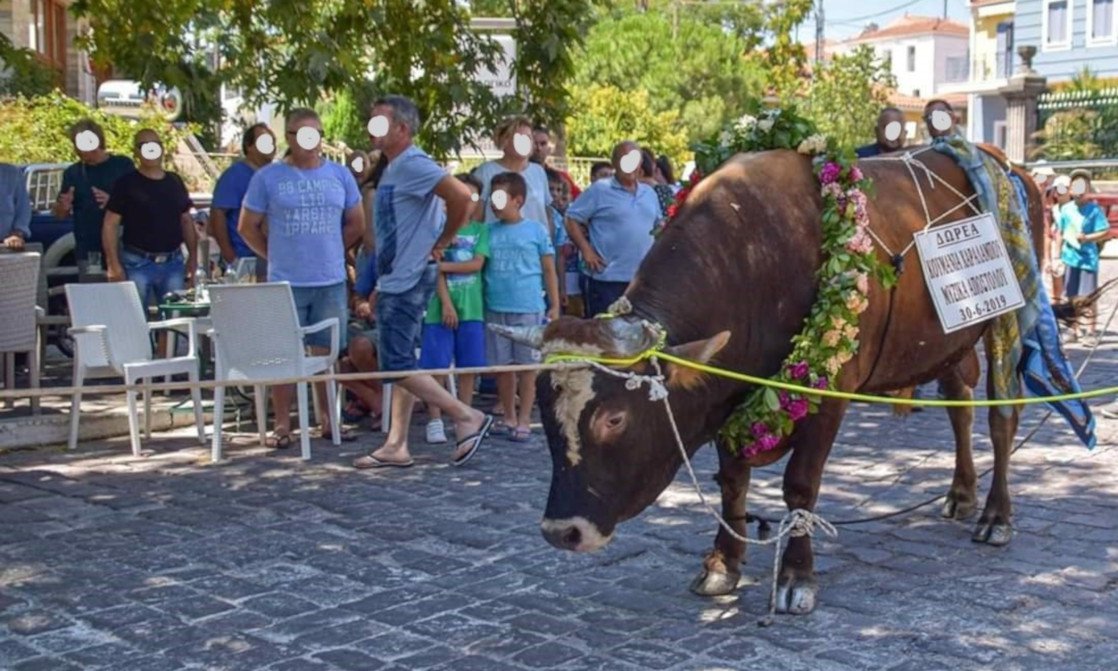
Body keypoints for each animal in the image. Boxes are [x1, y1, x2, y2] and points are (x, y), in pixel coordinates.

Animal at [505, 147, 1046, 617]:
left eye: (615, 418)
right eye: (546, 412)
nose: (561, 531)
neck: (754, 255)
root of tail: (1003, 163)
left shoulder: (827, 394)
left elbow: (800, 485)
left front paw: (796, 578)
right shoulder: (728, 394)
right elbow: (732, 483)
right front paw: (722, 564)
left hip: (1007, 320)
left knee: (1002, 420)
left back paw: (996, 517)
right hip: (951, 341)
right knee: (959, 407)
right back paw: (961, 494)